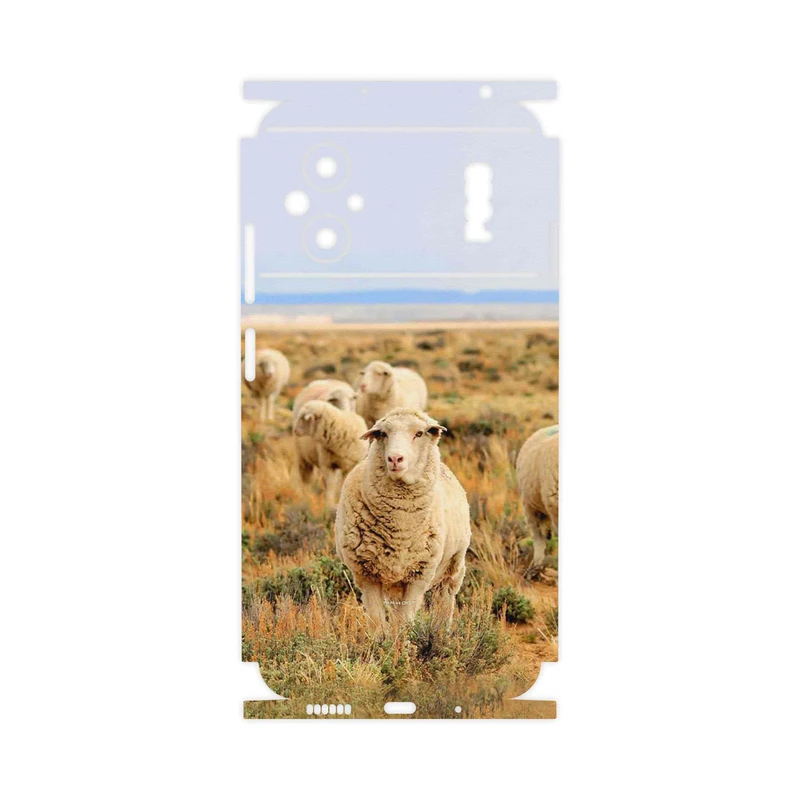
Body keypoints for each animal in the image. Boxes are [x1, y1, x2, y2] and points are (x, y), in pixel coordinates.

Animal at [335, 408, 471, 632]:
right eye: (383, 434)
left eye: (419, 433)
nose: (395, 458)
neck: (400, 527)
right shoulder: (366, 575)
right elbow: (377, 621)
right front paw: (383, 641)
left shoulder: (419, 575)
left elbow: (405, 621)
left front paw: (404, 641)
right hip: (394, 582)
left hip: (453, 565)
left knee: (445, 599)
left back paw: (441, 632)